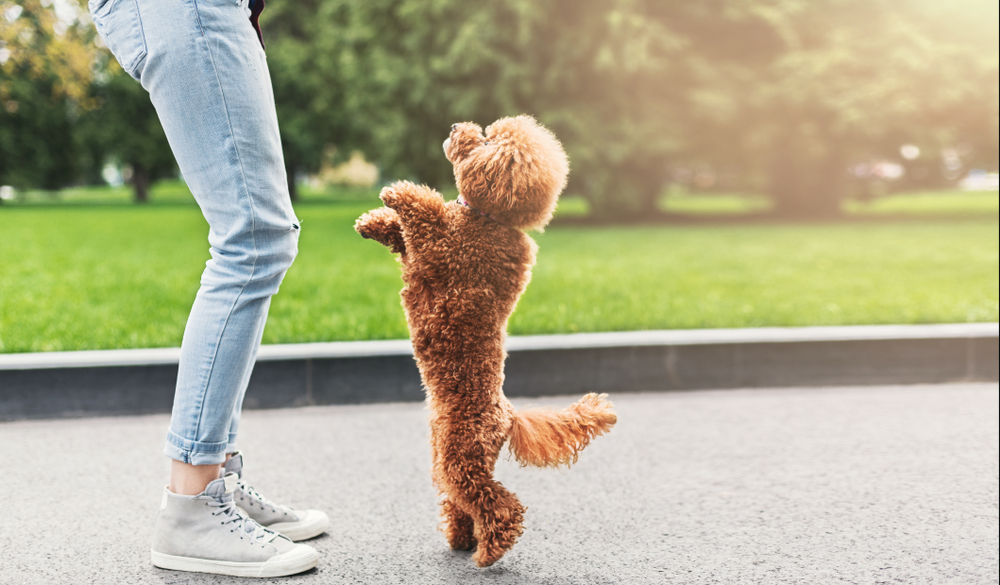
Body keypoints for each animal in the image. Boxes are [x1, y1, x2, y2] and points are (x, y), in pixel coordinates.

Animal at [352, 115, 616, 564]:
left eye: (486, 140)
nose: (456, 125)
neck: (490, 219)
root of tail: (507, 415)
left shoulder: (445, 251)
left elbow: (425, 214)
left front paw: (399, 191)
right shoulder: (423, 255)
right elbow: (402, 235)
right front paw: (373, 222)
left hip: (462, 457)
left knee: (498, 504)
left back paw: (492, 548)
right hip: (448, 459)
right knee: (460, 502)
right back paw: (462, 537)